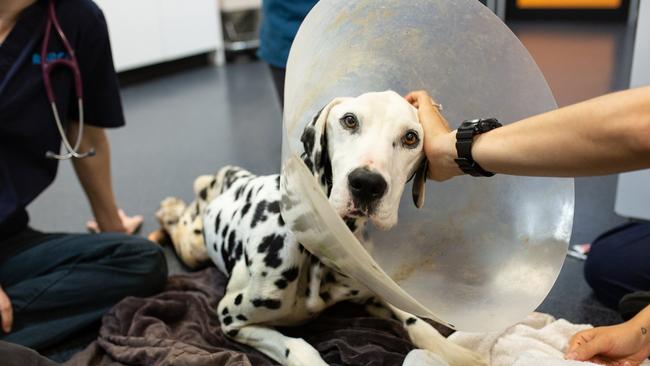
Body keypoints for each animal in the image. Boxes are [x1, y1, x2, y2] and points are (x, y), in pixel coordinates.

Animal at [154, 91, 484, 366]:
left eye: (411, 137)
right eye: (349, 120)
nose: (367, 184)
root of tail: (228, 177)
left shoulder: (372, 293)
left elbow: (417, 321)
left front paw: (460, 353)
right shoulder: (231, 317)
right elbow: (298, 347)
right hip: (194, 247)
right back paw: (169, 210)